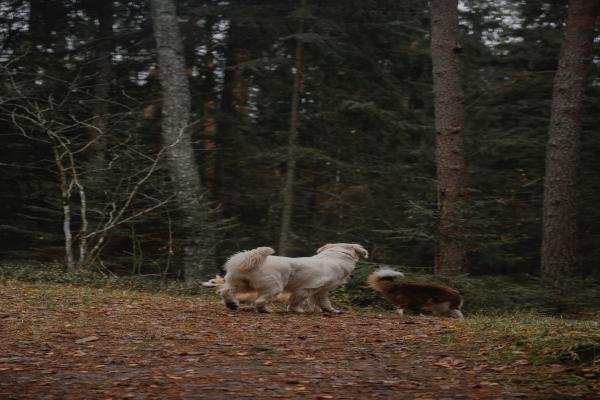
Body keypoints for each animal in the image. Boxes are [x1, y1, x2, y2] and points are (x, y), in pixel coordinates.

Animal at [218, 242, 368, 314]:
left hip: (242, 284)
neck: (336, 255)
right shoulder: (311, 288)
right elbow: (301, 300)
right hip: (275, 287)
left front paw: (327, 310)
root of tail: (246, 258)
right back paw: (265, 310)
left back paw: (231, 304)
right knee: (259, 301)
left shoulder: (318, 290)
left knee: (225, 291)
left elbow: (320, 302)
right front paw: (296, 310)